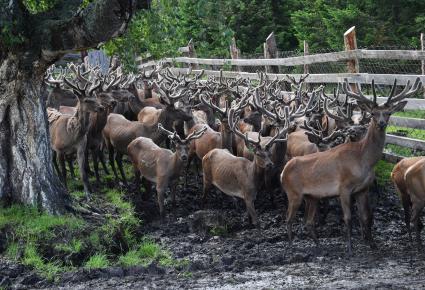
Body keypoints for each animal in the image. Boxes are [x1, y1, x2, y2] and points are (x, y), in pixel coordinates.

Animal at [280, 77, 420, 254]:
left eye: (388, 113)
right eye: (373, 113)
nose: (381, 123)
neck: (363, 161)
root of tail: (283, 172)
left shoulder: (362, 189)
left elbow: (366, 216)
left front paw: (372, 244)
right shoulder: (344, 188)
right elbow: (348, 218)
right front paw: (350, 247)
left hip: (311, 197)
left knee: (308, 221)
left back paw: (318, 245)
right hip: (293, 193)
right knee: (288, 219)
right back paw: (291, 248)